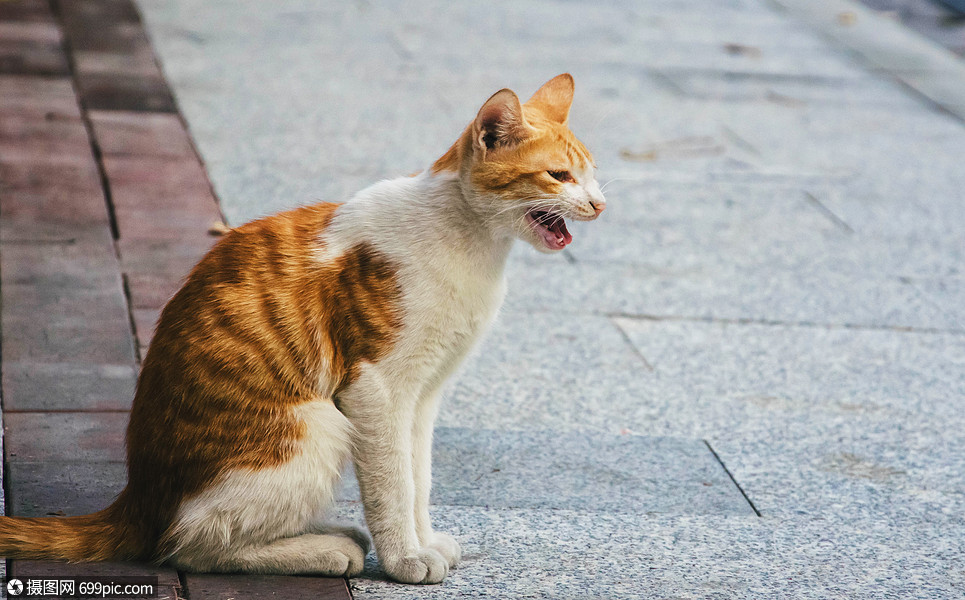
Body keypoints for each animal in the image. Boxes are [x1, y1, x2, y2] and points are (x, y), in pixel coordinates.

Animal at [0, 72, 604, 584]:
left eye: (593, 175)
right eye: (559, 176)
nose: (600, 204)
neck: (475, 246)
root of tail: (137, 499)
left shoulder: (424, 395)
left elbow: (419, 478)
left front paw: (424, 540)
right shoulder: (377, 390)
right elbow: (392, 483)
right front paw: (405, 559)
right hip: (317, 427)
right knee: (189, 544)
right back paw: (326, 550)